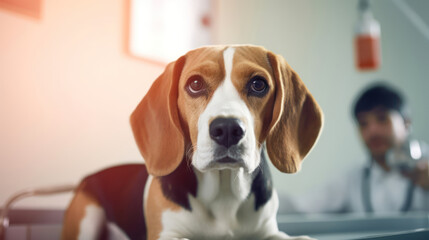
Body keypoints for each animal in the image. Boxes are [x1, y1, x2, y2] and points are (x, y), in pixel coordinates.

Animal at [60, 45, 320, 240]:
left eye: (258, 84)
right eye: (195, 84)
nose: (227, 129)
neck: (224, 190)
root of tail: (88, 175)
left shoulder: (269, 231)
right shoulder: (165, 235)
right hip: (87, 217)